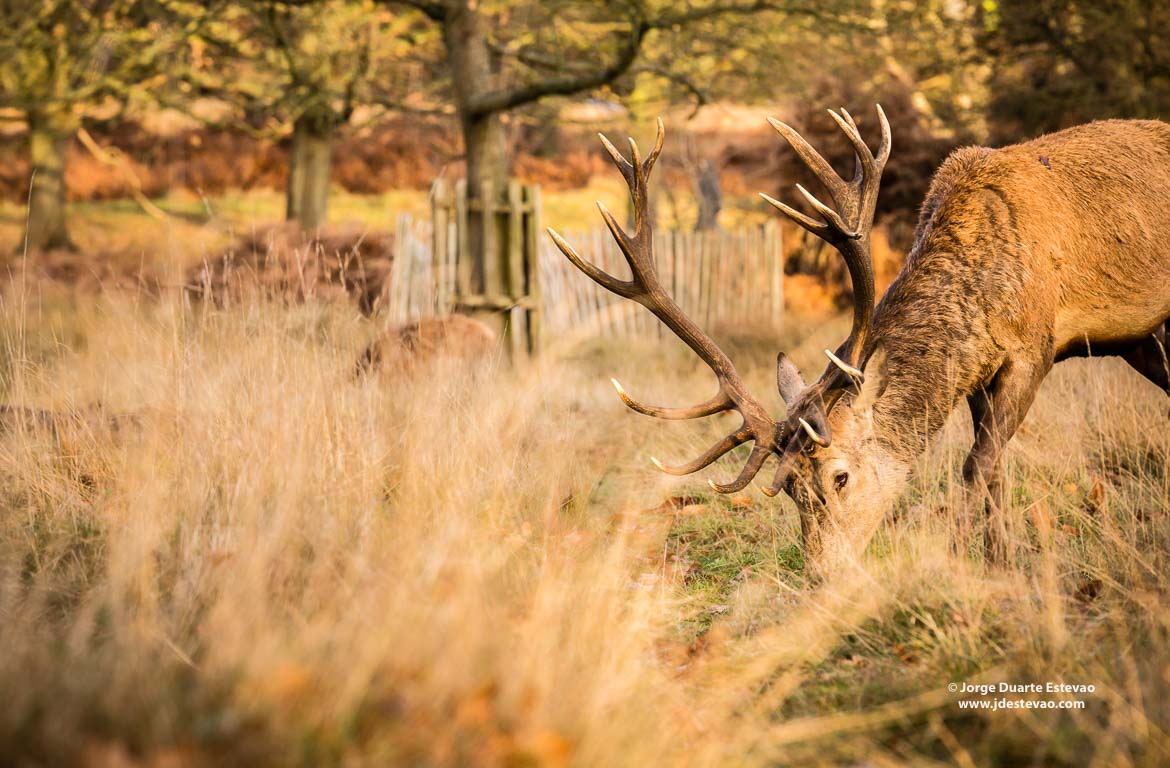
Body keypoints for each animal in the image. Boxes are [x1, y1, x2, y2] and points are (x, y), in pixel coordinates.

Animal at [547, 107, 1170, 576]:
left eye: (840, 476)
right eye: (791, 492)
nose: (822, 574)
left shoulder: (1033, 348)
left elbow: (978, 464)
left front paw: (958, 561)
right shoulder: (977, 373)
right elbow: (996, 468)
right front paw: (1000, 563)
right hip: (1143, 338)